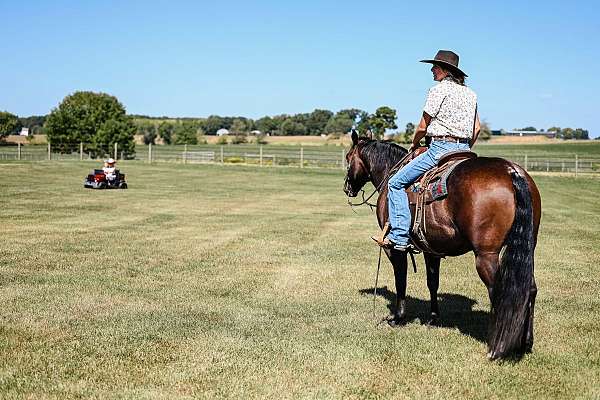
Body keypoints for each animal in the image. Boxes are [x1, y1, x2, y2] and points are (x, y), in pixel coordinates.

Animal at [342, 130, 544, 360]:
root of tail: (511, 171)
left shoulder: (394, 248)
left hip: (486, 255)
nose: (347, 187)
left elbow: (401, 281)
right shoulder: (431, 249)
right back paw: (525, 343)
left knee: (501, 290)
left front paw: (398, 317)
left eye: (348, 158)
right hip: (527, 248)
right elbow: (432, 282)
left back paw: (497, 347)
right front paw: (433, 318)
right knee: (529, 289)